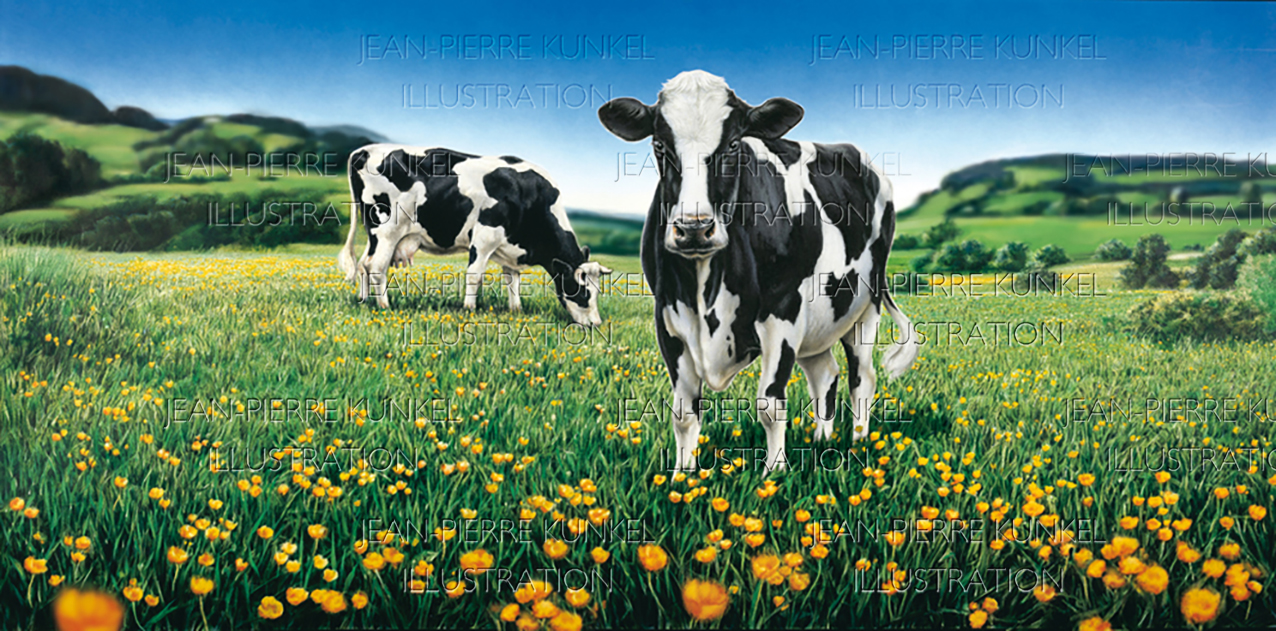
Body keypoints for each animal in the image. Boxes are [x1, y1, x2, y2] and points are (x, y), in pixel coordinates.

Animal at [337, 144, 612, 326]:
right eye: (583, 291)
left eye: (598, 290)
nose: (596, 324)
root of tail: (365, 149)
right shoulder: (485, 235)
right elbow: (474, 275)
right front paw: (469, 309)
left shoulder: (511, 248)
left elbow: (513, 280)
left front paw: (516, 310)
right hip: (387, 230)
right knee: (376, 267)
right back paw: (384, 305)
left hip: (373, 234)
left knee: (363, 264)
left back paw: (364, 300)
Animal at [597, 70, 920, 471]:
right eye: (659, 145)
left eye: (734, 144)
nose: (693, 228)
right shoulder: (667, 316)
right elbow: (684, 414)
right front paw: (681, 477)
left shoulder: (783, 309)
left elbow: (770, 403)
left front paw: (774, 473)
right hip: (819, 320)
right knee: (825, 374)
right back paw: (821, 441)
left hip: (864, 305)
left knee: (862, 376)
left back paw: (859, 443)